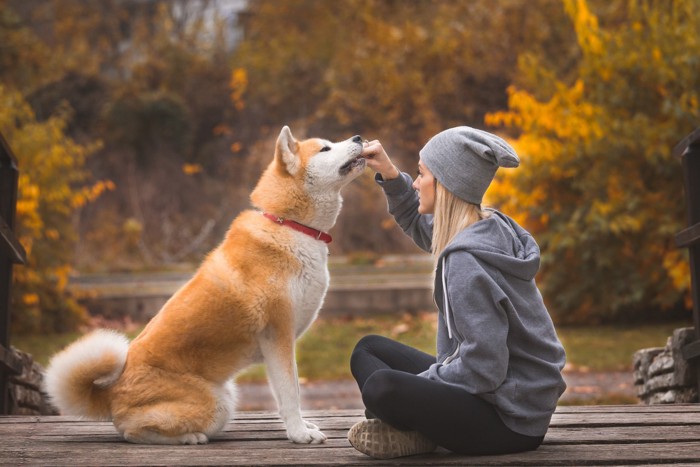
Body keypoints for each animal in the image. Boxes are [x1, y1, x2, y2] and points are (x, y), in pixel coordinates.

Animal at [45, 127, 366, 446]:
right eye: (325, 148)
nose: (359, 138)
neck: (289, 224)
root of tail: (111, 393)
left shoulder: (281, 342)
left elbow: (291, 391)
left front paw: (302, 427)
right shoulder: (278, 336)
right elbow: (290, 394)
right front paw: (299, 434)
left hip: (227, 395)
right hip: (217, 404)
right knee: (131, 431)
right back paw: (189, 437)